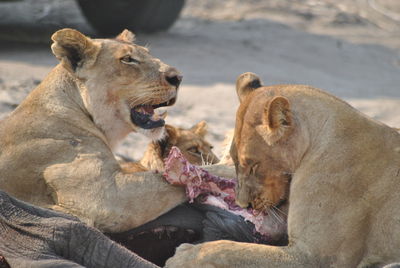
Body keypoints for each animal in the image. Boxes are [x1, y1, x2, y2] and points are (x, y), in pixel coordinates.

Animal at [166, 72, 400, 266]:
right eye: (234, 160)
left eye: (253, 166)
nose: (244, 204)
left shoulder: (315, 256)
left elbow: (230, 249)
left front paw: (184, 256)